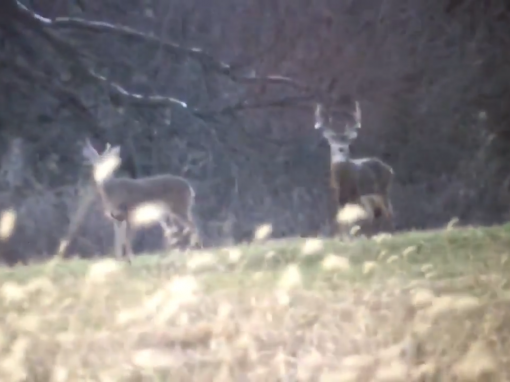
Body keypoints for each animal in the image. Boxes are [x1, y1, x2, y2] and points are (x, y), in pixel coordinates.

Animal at [314, 97, 394, 236]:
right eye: (332, 139)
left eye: (346, 139)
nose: (341, 148)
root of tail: (390, 169)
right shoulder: (339, 196)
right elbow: (342, 219)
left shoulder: (354, 195)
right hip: (371, 196)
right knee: (377, 214)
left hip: (382, 191)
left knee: (387, 213)